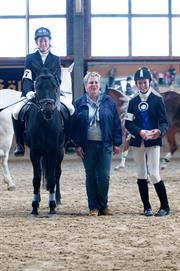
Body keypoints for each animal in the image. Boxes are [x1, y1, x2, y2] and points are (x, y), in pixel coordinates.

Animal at [23, 68, 66, 217]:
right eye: (37, 87)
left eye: (54, 86)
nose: (48, 110)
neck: (45, 123)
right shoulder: (34, 152)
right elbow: (36, 179)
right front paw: (34, 206)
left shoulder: (54, 151)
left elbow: (52, 178)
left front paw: (52, 206)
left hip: (60, 152)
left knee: (57, 173)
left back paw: (57, 199)